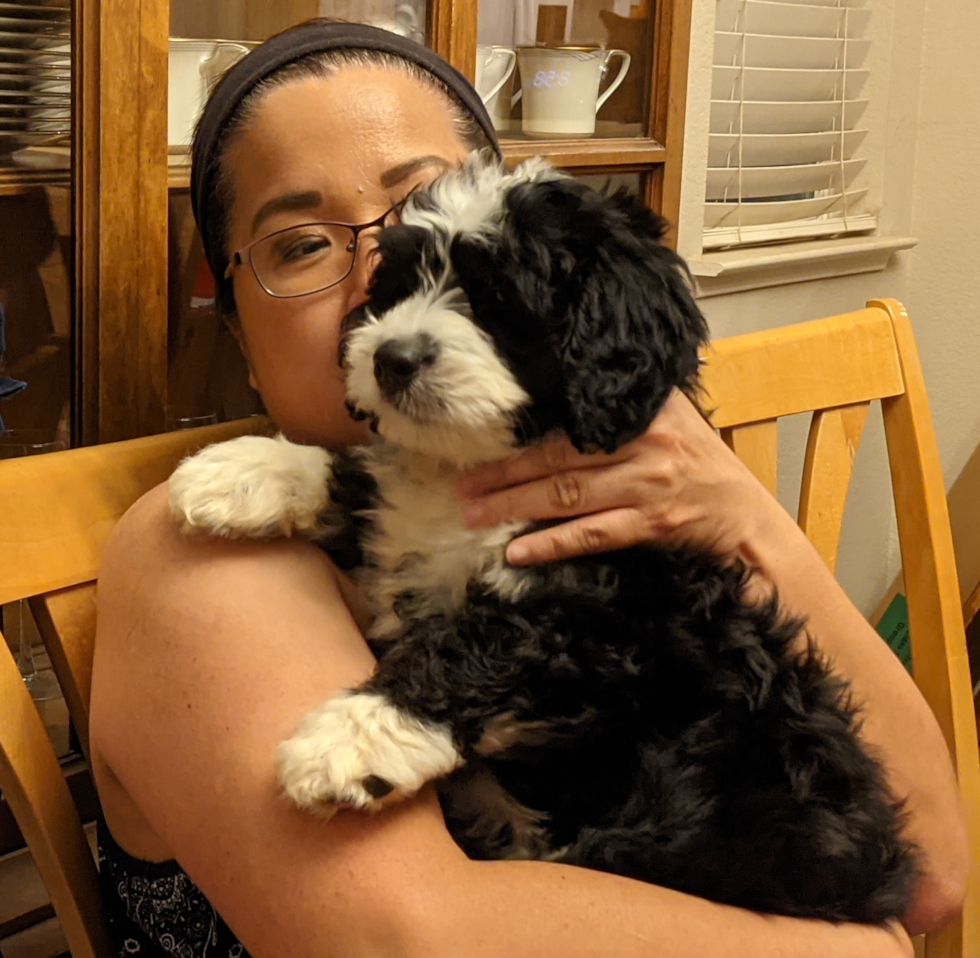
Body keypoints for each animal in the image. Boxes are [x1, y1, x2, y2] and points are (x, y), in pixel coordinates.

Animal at [170, 156, 920, 924]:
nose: (392, 357)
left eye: (501, 298)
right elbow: (362, 483)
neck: (473, 470)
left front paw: (355, 734)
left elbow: (478, 642)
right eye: (400, 285)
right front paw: (243, 472)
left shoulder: (601, 608)